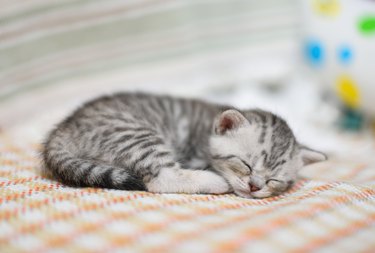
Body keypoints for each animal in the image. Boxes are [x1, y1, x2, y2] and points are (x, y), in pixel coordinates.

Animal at [42, 92, 328, 199]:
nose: (255, 186)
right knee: (160, 179)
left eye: (274, 180)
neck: (206, 129)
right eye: (245, 165)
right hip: (135, 134)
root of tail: (64, 129)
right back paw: (214, 182)